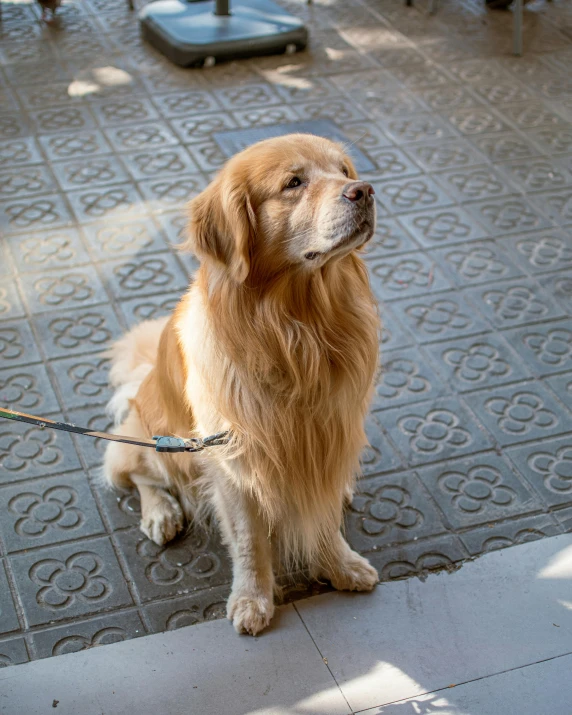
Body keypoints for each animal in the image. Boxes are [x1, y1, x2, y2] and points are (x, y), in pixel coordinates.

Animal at [104, 131, 380, 636]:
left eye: (344, 172)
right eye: (294, 182)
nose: (365, 190)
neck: (296, 328)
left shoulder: (328, 436)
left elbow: (323, 515)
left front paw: (340, 565)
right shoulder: (233, 458)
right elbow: (249, 540)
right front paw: (253, 598)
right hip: (162, 441)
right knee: (131, 469)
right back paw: (161, 512)